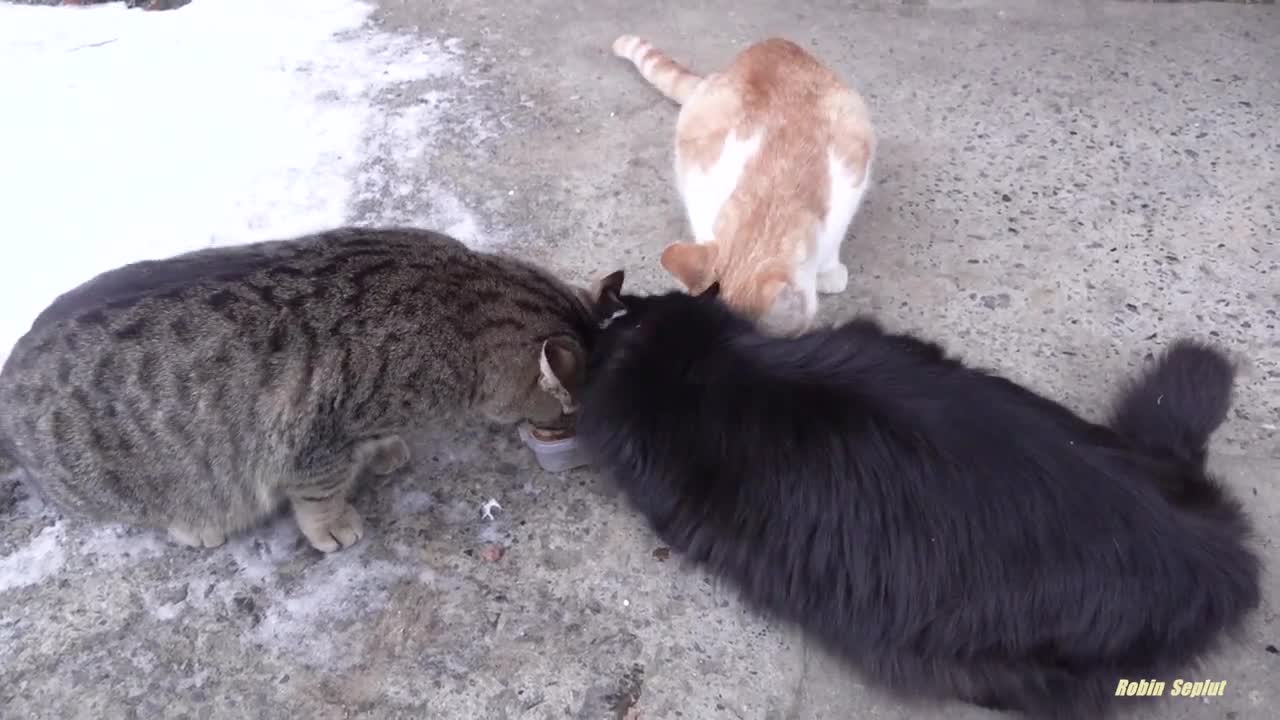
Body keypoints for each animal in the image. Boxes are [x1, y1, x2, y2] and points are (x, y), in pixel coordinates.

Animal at [0, 226, 624, 550]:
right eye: (568, 417)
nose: (562, 431)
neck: (461, 300)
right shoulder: (311, 441)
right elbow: (321, 493)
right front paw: (333, 523)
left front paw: (382, 449)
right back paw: (196, 524)